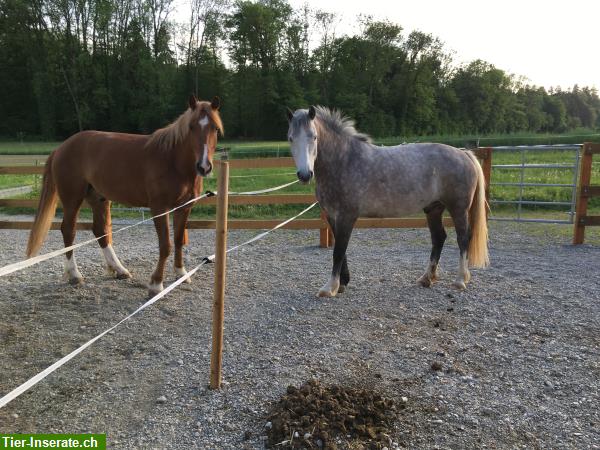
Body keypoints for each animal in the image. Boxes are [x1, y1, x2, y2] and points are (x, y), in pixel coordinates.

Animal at [26, 95, 223, 296]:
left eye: (215, 128)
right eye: (191, 127)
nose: (204, 166)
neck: (172, 161)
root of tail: (61, 148)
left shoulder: (184, 207)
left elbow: (177, 241)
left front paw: (181, 274)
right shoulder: (159, 208)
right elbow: (165, 245)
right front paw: (156, 283)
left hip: (99, 198)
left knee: (100, 231)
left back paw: (120, 270)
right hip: (72, 199)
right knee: (68, 230)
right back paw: (75, 274)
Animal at [286, 104, 488, 296]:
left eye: (314, 137)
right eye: (290, 138)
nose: (305, 175)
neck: (343, 161)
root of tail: (464, 154)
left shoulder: (346, 216)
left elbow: (338, 252)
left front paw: (330, 288)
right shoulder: (332, 216)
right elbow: (340, 250)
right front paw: (342, 283)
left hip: (458, 208)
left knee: (463, 238)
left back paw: (460, 280)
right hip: (434, 209)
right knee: (438, 238)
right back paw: (426, 278)